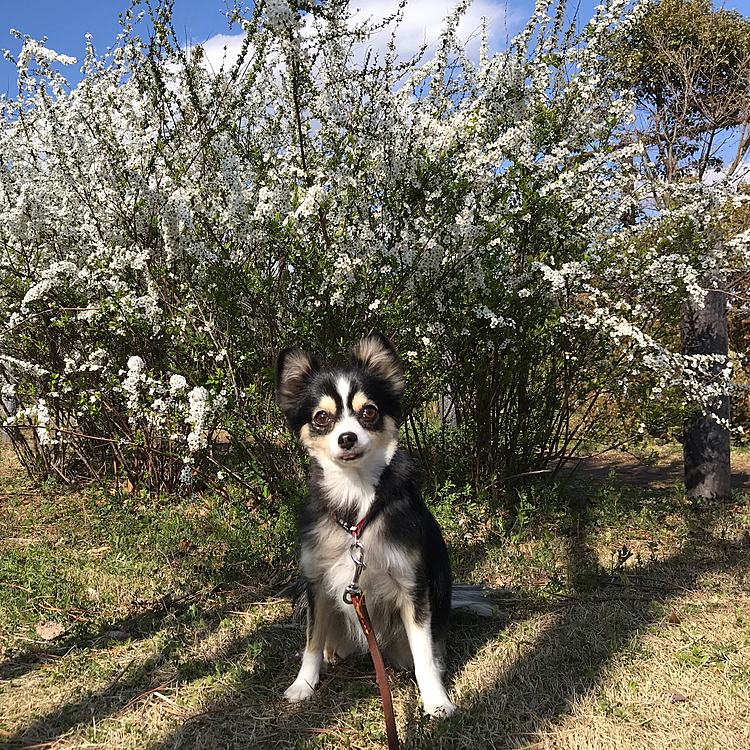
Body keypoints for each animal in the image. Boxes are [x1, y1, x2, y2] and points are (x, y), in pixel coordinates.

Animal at [274, 338, 456, 720]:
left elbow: (423, 655)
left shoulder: (412, 587)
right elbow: (312, 639)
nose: (346, 437)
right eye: (322, 417)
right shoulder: (318, 583)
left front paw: (436, 700)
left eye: (368, 412)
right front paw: (303, 684)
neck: (356, 501)